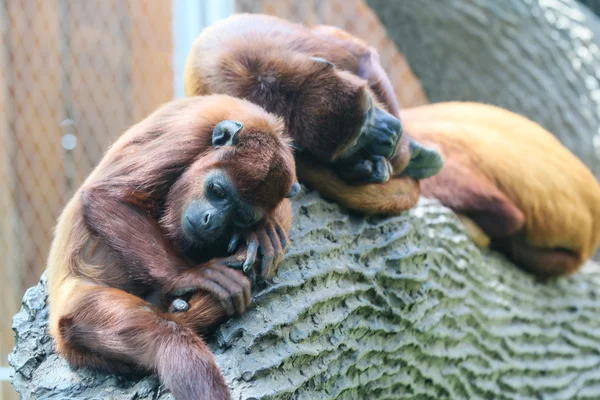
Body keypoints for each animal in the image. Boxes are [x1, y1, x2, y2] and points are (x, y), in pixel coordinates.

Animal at [46, 95, 298, 398]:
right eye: (217, 191)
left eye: (240, 216)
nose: (211, 221)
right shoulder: (185, 136)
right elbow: (105, 196)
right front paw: (190, 276)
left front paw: (258, 230)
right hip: (80, 307)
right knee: (168, 338)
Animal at [185, 13, 442, 186]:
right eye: (355, 143)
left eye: (370, 107)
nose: (391, 136)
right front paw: (362, 167)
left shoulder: (314, 50)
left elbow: (363, 59)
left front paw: (402, 153)